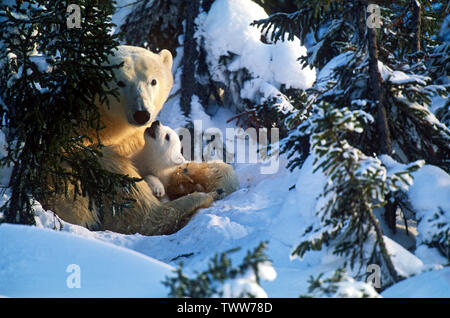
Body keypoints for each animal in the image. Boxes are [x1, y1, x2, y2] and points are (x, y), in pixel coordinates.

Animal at [44, 45, 239, 236]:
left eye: (153, 81)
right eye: (120, 82)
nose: (142, 114)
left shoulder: (134, 140)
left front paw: (199, 177)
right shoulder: (93, 156)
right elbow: (139, 214)